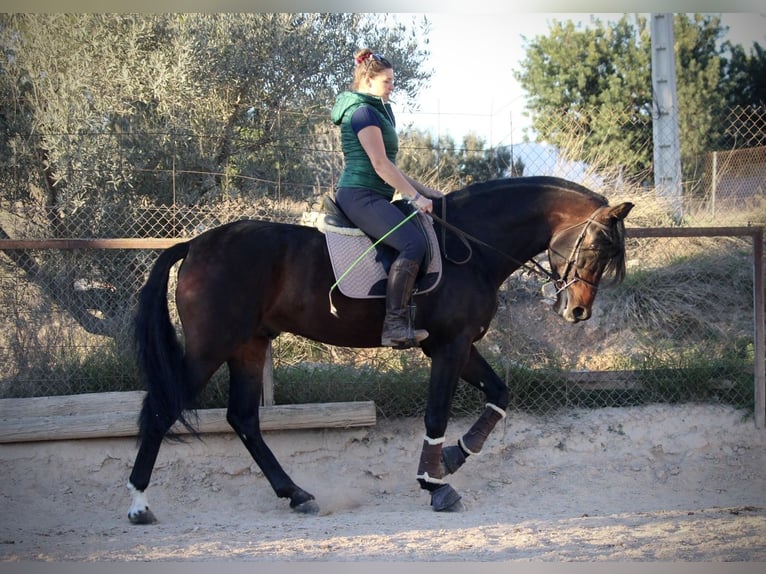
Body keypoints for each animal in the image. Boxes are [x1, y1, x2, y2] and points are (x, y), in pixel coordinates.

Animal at [127, 177, 636, 528]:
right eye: (595, 245)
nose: (578, 311)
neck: (471, 247)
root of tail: (195, 244)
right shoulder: (449, 346)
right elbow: (436, 414)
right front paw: (435, 485)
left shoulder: (459, 344)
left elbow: (499, 394)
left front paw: (454, 458)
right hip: (210, 347)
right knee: (163, 410)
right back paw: (138, 504)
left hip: (249, 346)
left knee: (244, 419)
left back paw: (296, 494)